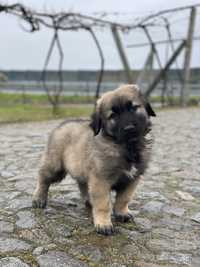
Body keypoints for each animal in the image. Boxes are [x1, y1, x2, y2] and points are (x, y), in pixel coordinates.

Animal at [32, 85, 156, 236]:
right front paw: (103, 224)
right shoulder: (101, 180)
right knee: (43, 177)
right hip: (55, 166)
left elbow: (124, 199)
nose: (129, 128)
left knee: (83, 185)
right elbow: (103, 204)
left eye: (133, 108)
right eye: (113, 115)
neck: (127, 147)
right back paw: (39, 198)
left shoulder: (132, 179)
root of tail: (61, 124)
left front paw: (121, 213)